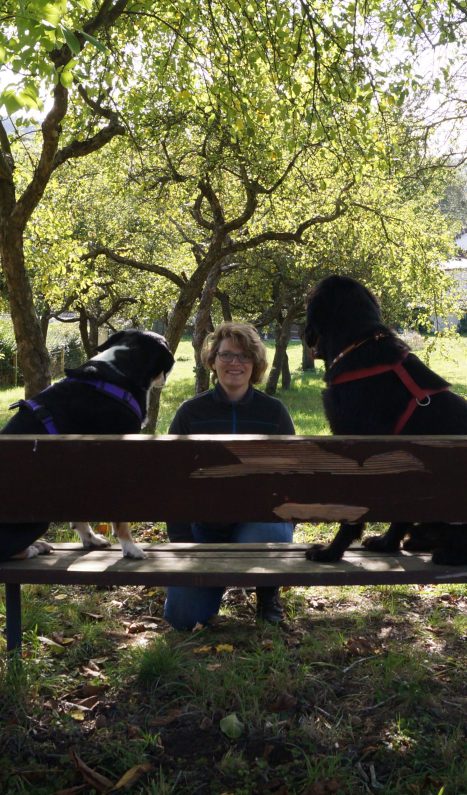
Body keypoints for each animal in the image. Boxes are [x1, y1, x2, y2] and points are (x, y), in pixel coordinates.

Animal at [304, 274, 467, 564]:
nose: (302, 331)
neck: (358, 344)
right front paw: (387, 543)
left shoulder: (356, 451)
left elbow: (353, 515)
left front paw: (331, 551)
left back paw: (446, 553)